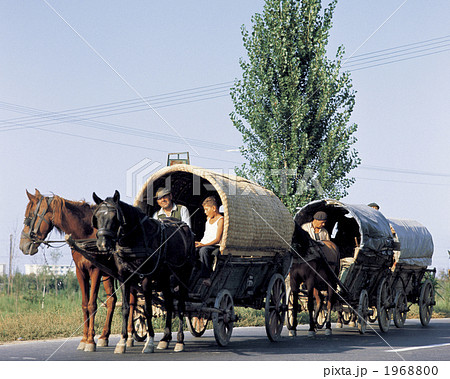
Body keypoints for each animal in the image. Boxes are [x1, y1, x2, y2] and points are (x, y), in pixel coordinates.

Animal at [19, 190, 118, 354]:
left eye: (31, 216)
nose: (23, 246)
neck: (87, 233)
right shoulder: (80, 272)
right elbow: (84, 305)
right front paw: (84, 339)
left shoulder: (95, 270)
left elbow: (92, 305)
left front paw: (90, 341)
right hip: (109, 274)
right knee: (112, 300)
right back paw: (105, 336)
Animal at [92, 191, 195, 354]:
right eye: (97, 217)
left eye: (114, 217)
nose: (102, 245)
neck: (135, 239)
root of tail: (186, 228)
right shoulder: (124, 278)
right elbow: (126, 309)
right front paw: (122, 342)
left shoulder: (146, 277)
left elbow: (147, 309)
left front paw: (150, 342)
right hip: (164, 276)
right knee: (169, 303)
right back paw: (165, 339)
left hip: (183, 274)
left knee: (181, 305)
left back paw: (179, 341)